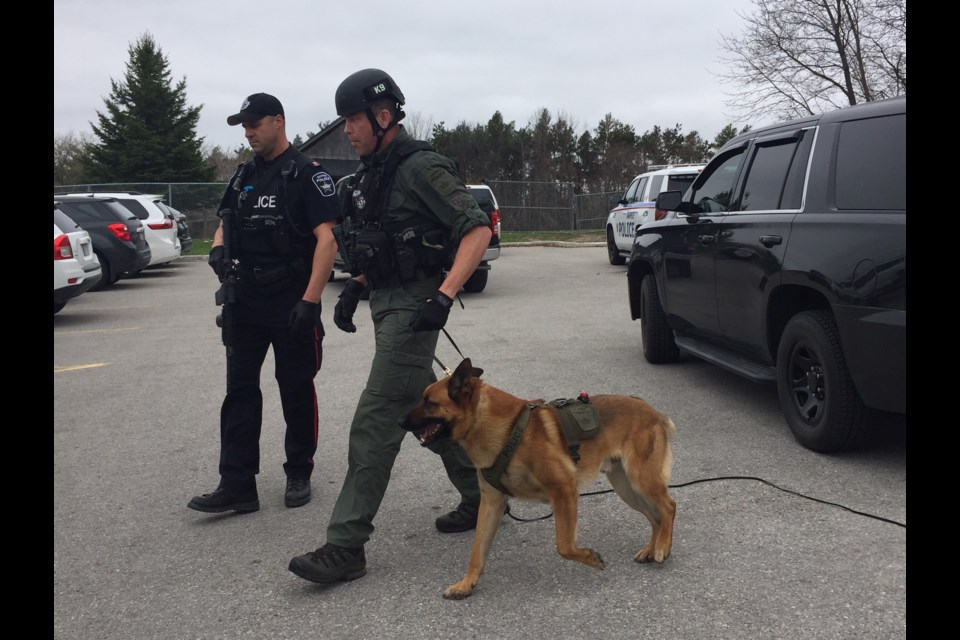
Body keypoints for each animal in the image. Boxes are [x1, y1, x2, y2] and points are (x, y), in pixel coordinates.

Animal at [402, 358, 680, 596]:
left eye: (428, 402)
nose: (399, 421)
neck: (506, 431)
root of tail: (653, 411)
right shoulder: (492, 503)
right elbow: (477, 551)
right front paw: (466, 584)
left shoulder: (564, 491)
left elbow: (564, 546)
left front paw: (589, 558)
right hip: (626, 488)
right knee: (655, 516)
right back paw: (652, 548)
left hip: (641, 481)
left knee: (668, 506)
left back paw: (662, 548)